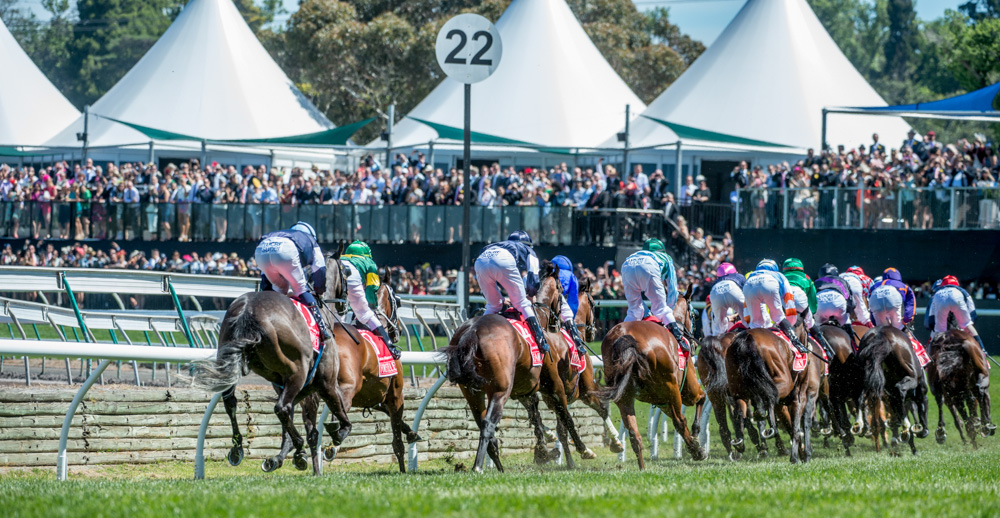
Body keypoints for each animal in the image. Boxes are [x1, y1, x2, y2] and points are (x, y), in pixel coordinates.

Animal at [193, 246, 354, 478]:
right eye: (347, 272)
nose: (345, 306)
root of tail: (247, 312)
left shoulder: (290, 386)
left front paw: (288, 456)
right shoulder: (326, 383)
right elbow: (339, 416)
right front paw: (334, 435)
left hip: (230, 359)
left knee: (231, 401)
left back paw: (237, 448)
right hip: (298, 371)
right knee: (281, 408)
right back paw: (298, 446)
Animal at [536, 262, 620, 458]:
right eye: (594, 304)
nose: (593, 331)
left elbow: (561, 427)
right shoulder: (587, 389)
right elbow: (602, 408)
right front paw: (616, 441)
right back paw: (583, 449)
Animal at [596, 290, 708, 474]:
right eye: (694, 315)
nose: (692, 344)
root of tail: (626, 338)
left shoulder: (662, 401)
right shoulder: (687, 392)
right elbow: (701, 398)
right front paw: (696, 437)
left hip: (624, 396)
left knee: (634, 434)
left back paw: (642, 467)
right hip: (672, 388)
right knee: (680, 421)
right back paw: (697, 451)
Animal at [724, 322, 824, 466]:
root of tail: (746, 339)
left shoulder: (781, 404)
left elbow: (790, 426)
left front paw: (801, 453)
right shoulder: (799, 397)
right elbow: (795, 428)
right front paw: (798, 456)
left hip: (736, 385)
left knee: (741, 408)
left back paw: (740, 440)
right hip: (784, 381)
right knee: (768, 395)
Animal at [860, 328, 928, 458]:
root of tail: (880, 334)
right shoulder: (920, 393)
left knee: (863, 402)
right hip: (910, 378)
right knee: (900, 389)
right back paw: (906, 426)